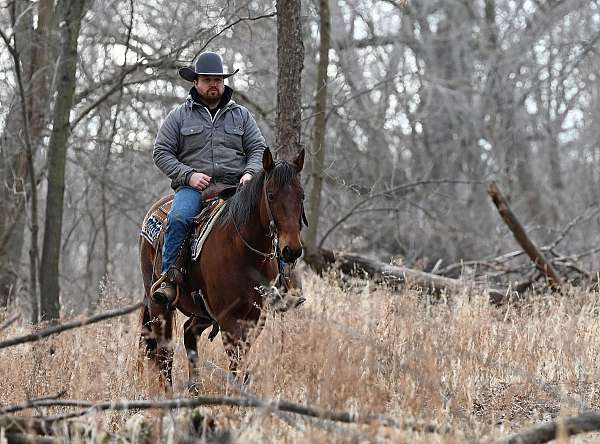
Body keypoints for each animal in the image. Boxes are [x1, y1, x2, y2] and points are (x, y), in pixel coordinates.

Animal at [139, 148, 304, 388]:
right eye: (271, 195)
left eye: (302, 196)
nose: (291, 250)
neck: (245, 253)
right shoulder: (227, 316)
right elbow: (236, 362)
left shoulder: (256, 316)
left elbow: (242, 361)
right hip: (159, 306)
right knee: (164, 355)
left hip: (202, 310)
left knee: (189, 334)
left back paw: (195, 389)